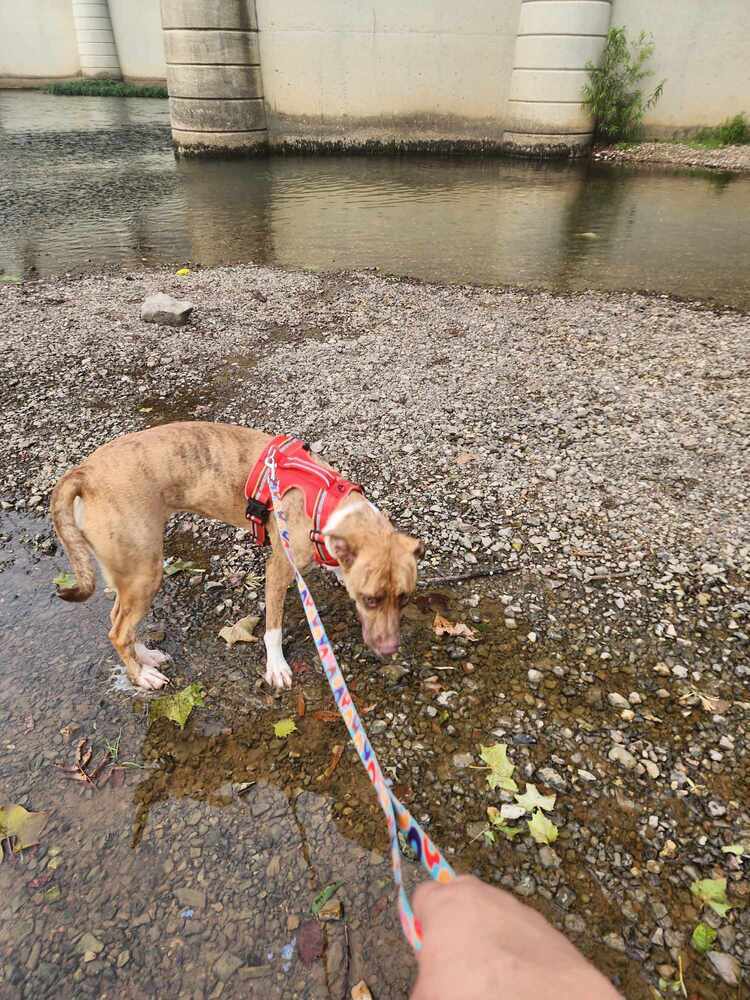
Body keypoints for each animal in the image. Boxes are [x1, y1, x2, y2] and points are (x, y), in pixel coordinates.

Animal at [50, 420, 424, 688]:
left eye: (404, 598)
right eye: (370, 599)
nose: (390, 650)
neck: (327, 504)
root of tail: (84, 474)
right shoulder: (279, 570)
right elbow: (273, 628)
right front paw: (276, 667)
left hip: (130, 574)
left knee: (119, 623)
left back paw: (146, 657)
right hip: (144, 573)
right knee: (118, 632)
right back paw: (141, 676)